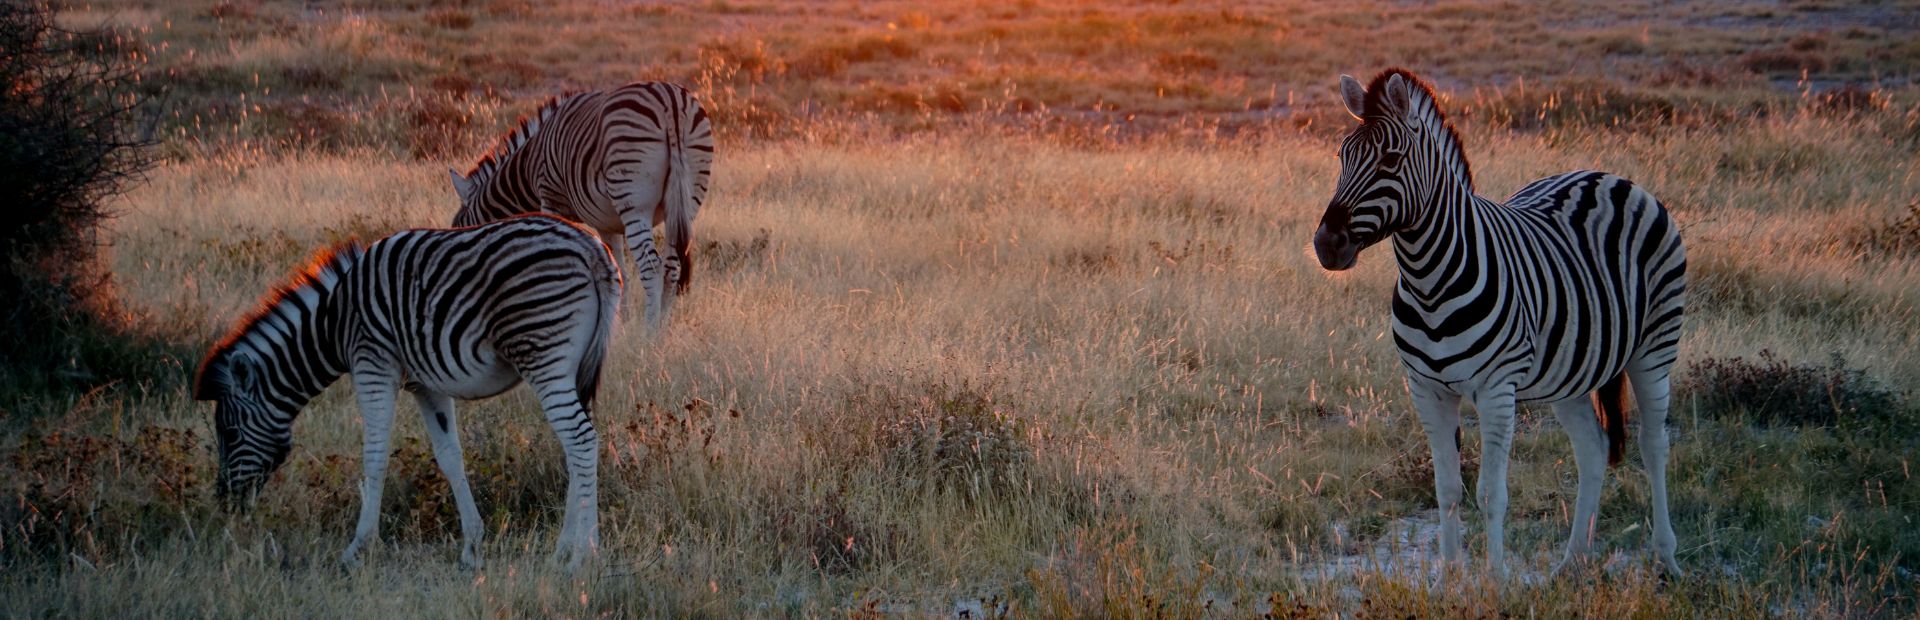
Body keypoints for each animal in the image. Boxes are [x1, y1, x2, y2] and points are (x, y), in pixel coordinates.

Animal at [193, 214, 621, 571]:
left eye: (229, 433)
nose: (225, 503)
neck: (333, 322)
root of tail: (590, 246)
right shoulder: (425, 384)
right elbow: (450, 457)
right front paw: (472, 547)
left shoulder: (372, 362)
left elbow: (374, 456)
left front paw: (357, 548)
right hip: (569, 365)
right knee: (576, 446)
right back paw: (565, 547)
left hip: (543, 355)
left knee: (580, 440)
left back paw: (583, 554)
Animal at [449, 81, 713, 332]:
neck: (530, 163)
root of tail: (671, 103)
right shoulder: (607, 223)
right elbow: (621, 272)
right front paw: (620, 322)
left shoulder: (550, 198)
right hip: (686, 202)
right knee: (671, 267)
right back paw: (662, 328)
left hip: (634, 203)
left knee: (651, 268)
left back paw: (648, 334)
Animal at [1311, 69, 1687, 578]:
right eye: (1342, 156)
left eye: (1390, 160)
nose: (1326, 244)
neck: (1430, 282)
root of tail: (1606, 176)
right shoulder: (1425, 388)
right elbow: (1448, 490)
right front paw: (1450, 580)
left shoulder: (1495, 389)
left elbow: (1491, 494)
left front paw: (1495, 581)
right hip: (1570, 370)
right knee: (1592, 448)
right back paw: (1572, 563)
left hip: (1654, 347)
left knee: (1653, 444)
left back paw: (1665, 559)